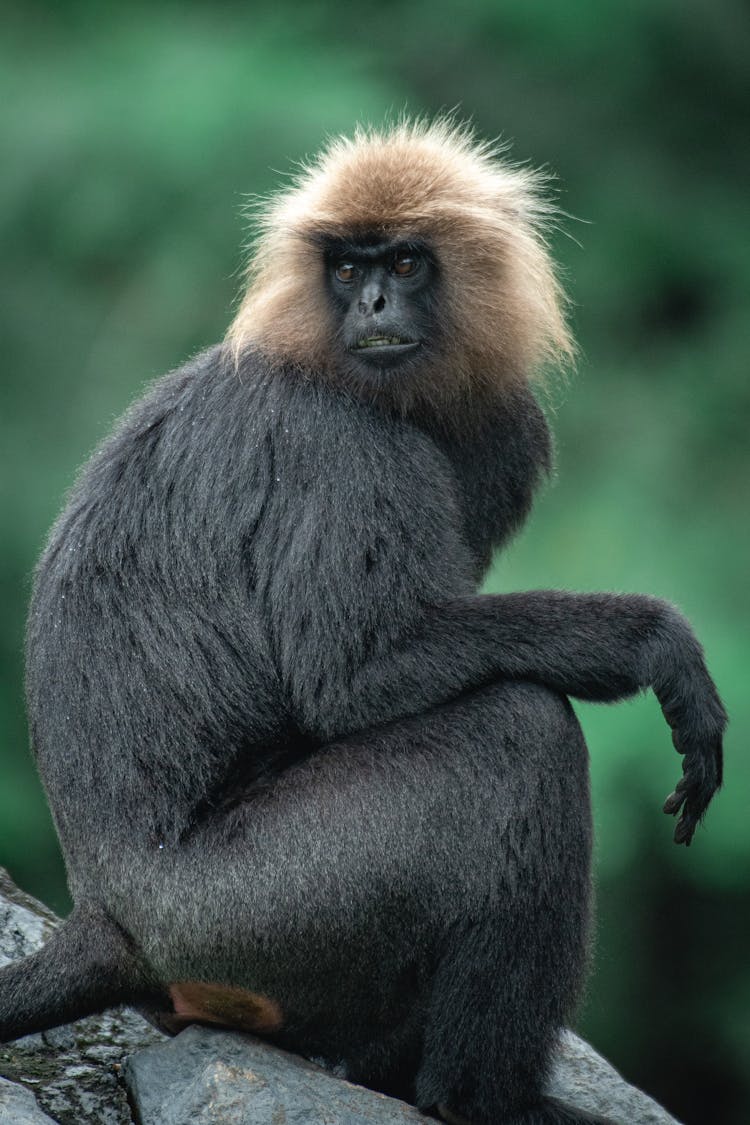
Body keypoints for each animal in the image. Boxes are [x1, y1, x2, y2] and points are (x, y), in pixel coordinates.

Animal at [0, 116, 728, 1125]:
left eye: (406, 262)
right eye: (349, 269)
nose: (375, 299)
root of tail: (110, 913)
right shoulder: (337, 446)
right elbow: (355, 679)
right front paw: (655, 642)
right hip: (255, 909)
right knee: (520, 729)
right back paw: (480, 1098)